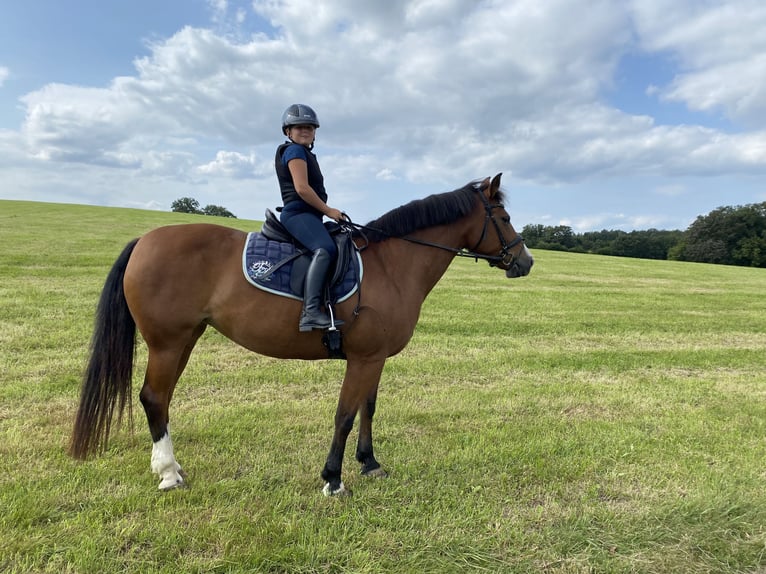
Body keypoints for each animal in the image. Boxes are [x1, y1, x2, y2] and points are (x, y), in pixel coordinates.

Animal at [70, 173, 536, 498]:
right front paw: (333, 479)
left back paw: (171, 467)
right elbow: (344, 415)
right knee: (153, 397)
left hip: (184, 341)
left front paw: (369, 464)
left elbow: (368, 409)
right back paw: (169, 474)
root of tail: (145, 240)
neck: (391, 265)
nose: (526, 262)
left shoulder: (375, 358)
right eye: (505, 218)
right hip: (167, 343)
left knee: (161, 400)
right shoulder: (364, 359)